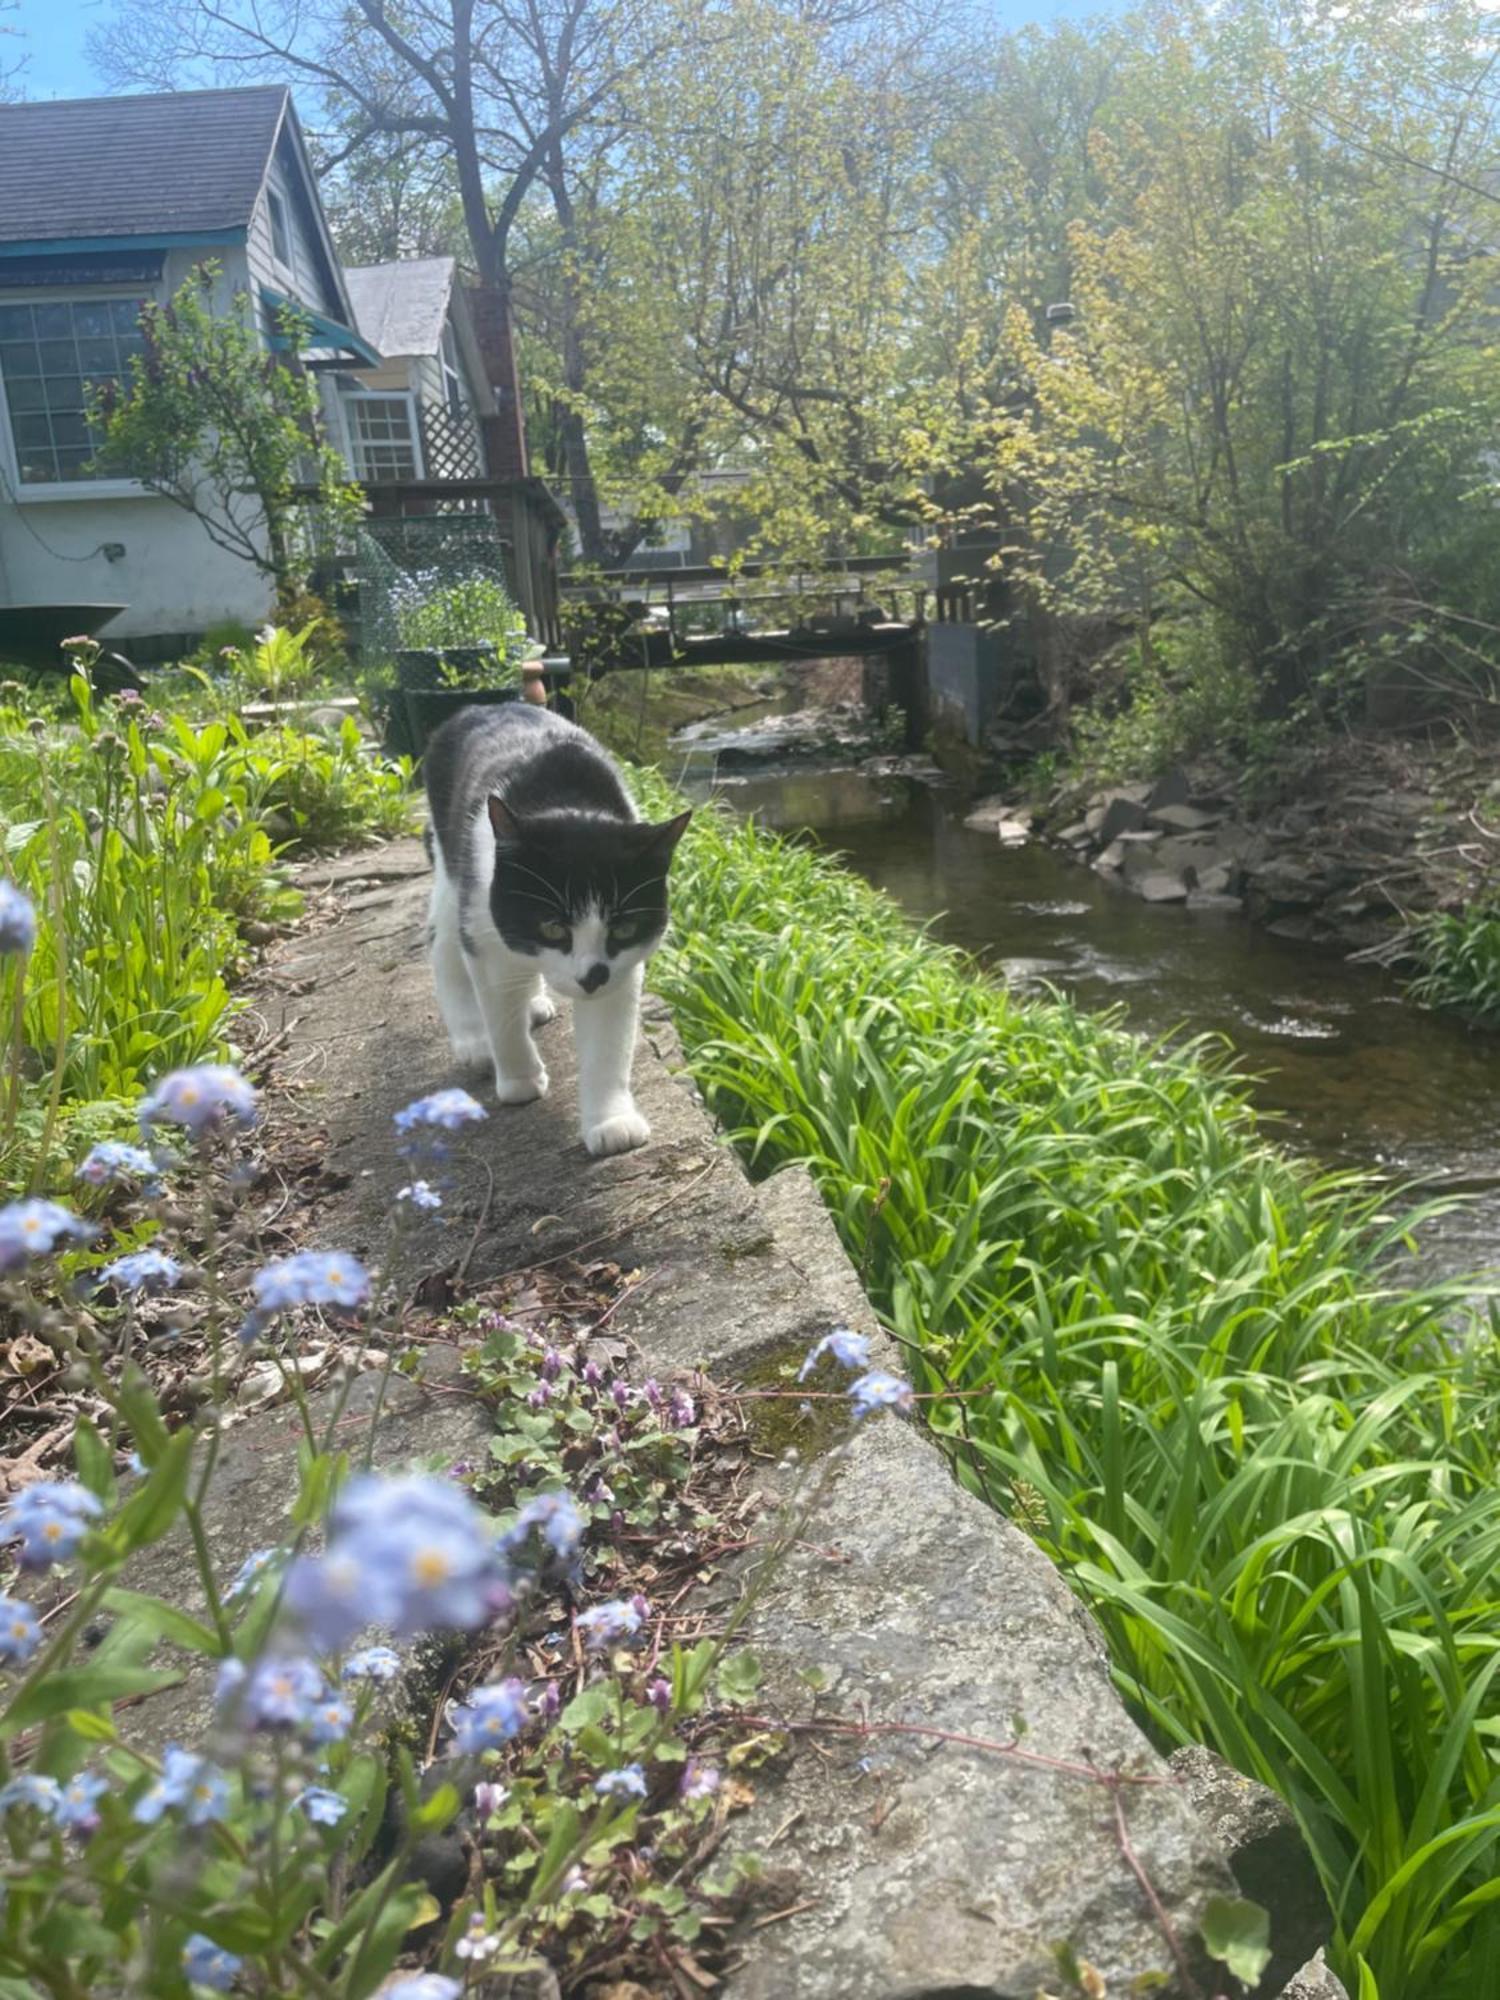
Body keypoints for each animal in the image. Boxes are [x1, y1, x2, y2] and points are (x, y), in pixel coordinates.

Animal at [418, 712, 688, 1168]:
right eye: (553, 928)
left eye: (623, 929)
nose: (591, 976)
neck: (563, 797)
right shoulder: (486, 933)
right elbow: (500, 1013)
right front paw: (519, 1079)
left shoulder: (622, 968)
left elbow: (608, 1042)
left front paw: (610, 1122)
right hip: (453, 873)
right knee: (445, 947)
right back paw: (474, 1039)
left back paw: (535, 1002)